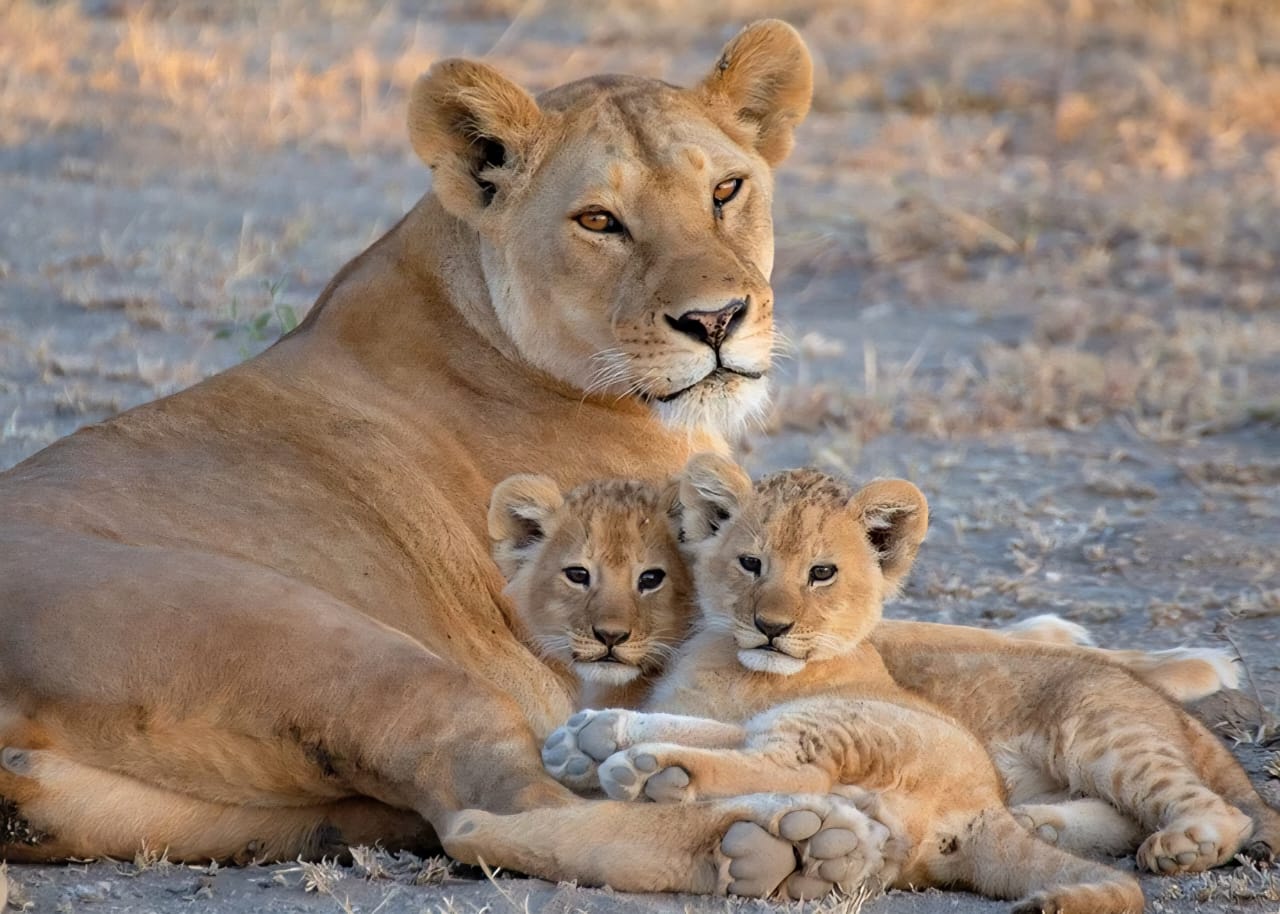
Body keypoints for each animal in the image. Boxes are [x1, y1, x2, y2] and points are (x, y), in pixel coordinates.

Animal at [546, 456, 1278, 907]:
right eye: (750, 563)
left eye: (821, 573)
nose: (771, 626)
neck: (728, 652)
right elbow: (699, 723)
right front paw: (588, 736)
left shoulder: (800, 704)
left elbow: (728, 735)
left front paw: (606, 743)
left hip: (1093, 732)